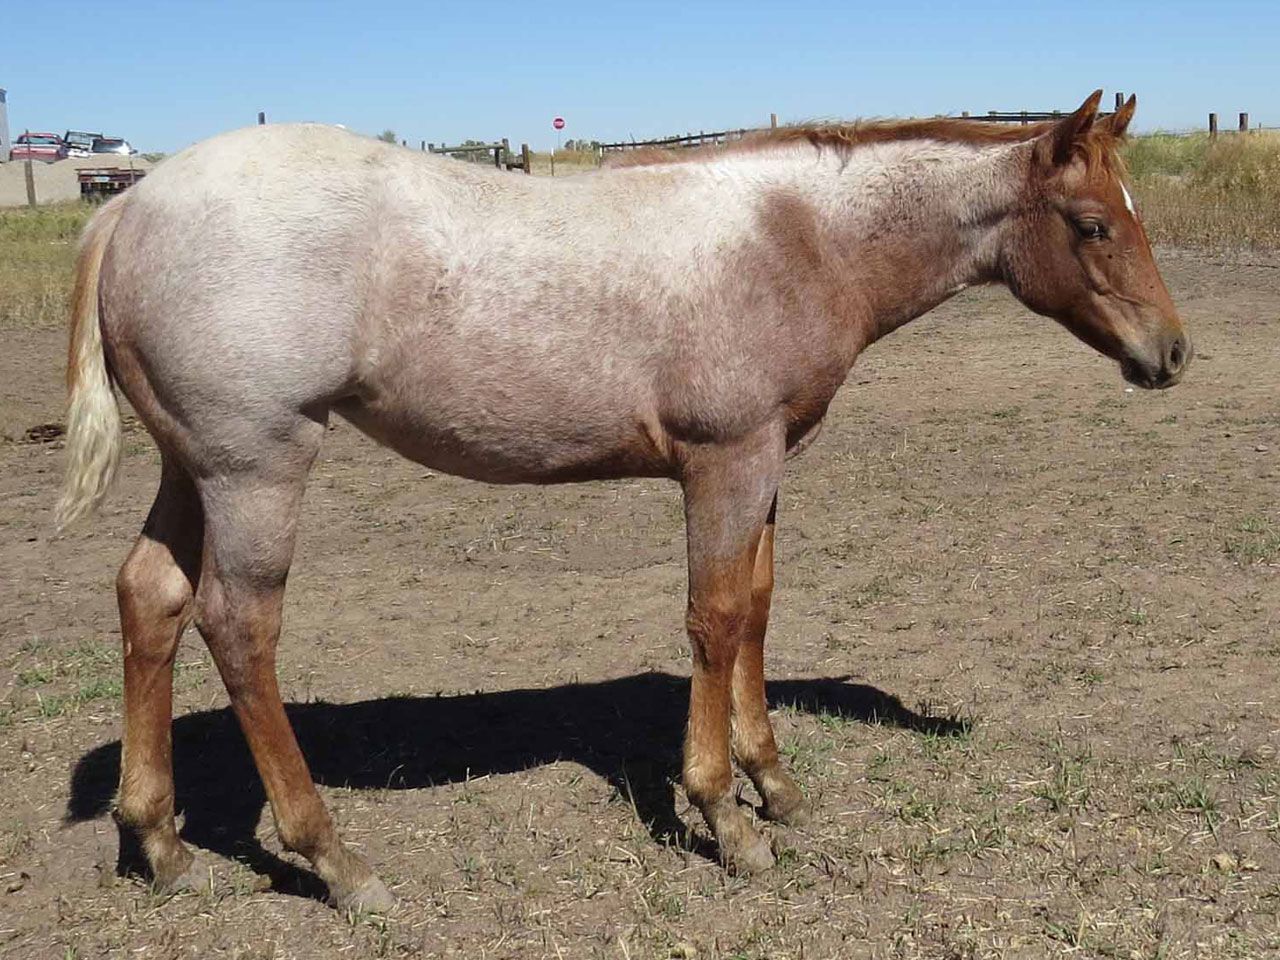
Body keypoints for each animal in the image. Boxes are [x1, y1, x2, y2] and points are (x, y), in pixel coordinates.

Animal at [57, 89, 1189, 912]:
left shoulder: (766, 466)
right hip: (257, 468)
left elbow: (754, 613)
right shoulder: (725, 461)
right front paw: (725, 820)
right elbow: (715, 619)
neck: (792, 238)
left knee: (149, 597)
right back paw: (335, 862)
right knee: (239, 627)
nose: (1171, 353)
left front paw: (774, 785)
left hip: (194, 466)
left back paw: (157, 840)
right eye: (1092, 224)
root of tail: (128, 203)